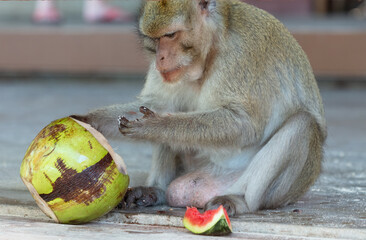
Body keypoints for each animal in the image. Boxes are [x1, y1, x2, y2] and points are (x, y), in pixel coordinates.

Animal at [71, 0, 326, 216]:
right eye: (155, 39)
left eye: (170, 35)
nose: (160, 58)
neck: (210, 51)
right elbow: (158, 103)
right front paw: (87, 120)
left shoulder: (239, 55)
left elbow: (244, 124)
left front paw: (155, 125)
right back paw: (156, 191)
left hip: (279, 189)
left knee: (303, 124)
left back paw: (241, 200)